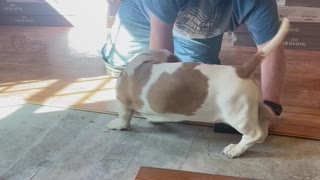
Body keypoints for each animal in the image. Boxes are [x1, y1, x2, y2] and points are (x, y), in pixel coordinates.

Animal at [107, 17, 290, 158]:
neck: (146, 60)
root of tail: (241, 70)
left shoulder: (123, 101)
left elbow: (124, 117)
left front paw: (117, 124)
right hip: (254, 107)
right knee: (264, 123)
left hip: (237, 115)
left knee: (254, 133)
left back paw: (234, 150)